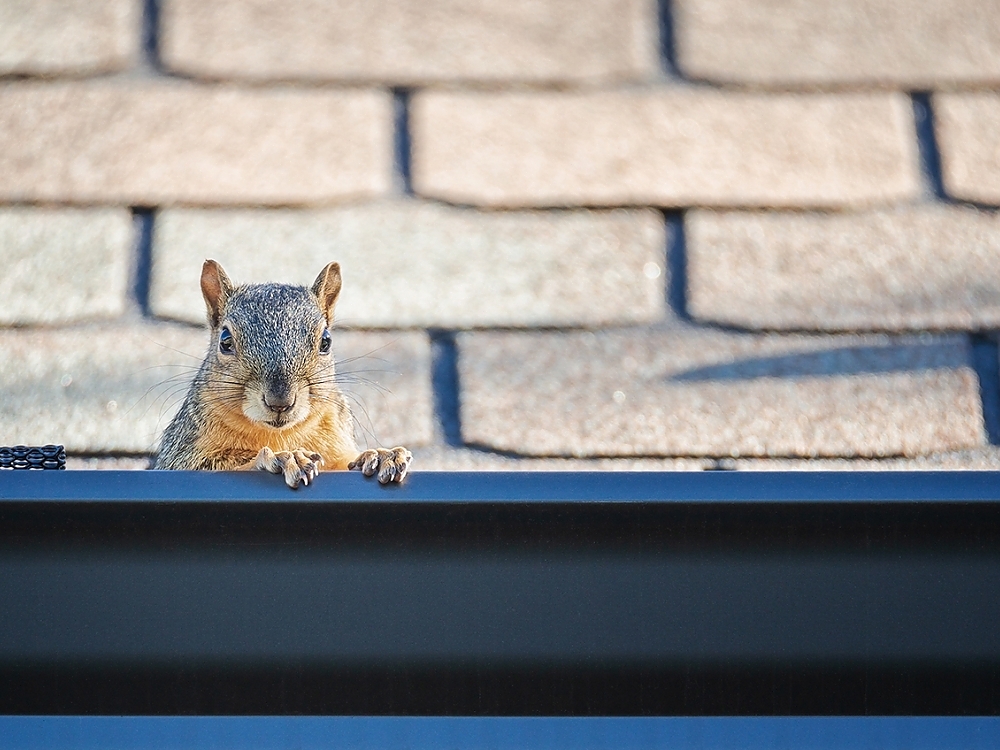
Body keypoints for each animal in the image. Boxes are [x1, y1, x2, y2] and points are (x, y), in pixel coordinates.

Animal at [154, 259, 412, 487]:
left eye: (326, 341)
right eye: (225, 341)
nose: (280, 402)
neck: (280, 434)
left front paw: (379, 455)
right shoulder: (181, 455)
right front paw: (281, 458)